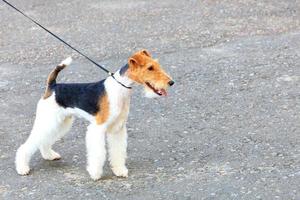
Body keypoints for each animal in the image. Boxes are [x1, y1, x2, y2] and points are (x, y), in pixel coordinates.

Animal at [14, 49, 173, 180]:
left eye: (157, 65)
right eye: (150, 68)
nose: (171, 82)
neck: (120, 89)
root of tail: (52, 86)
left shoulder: (118, 128)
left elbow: (118, 151)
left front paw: (119, 170)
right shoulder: (98, 128)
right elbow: (98, 153)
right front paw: (95, 173)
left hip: (61, 122)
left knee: (44, 140)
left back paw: (49, 155)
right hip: (49, 120)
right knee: (27, 145)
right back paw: (22, 168)